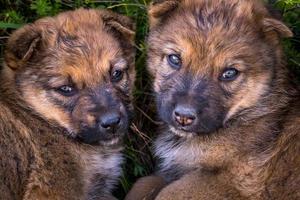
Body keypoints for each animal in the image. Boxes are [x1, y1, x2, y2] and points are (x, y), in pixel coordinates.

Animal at [127, 0, 300, 200]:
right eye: (174, 59)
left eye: (229, 73)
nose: (183, 117)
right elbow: (143, 182)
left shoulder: (239, 181)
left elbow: (167, 192)